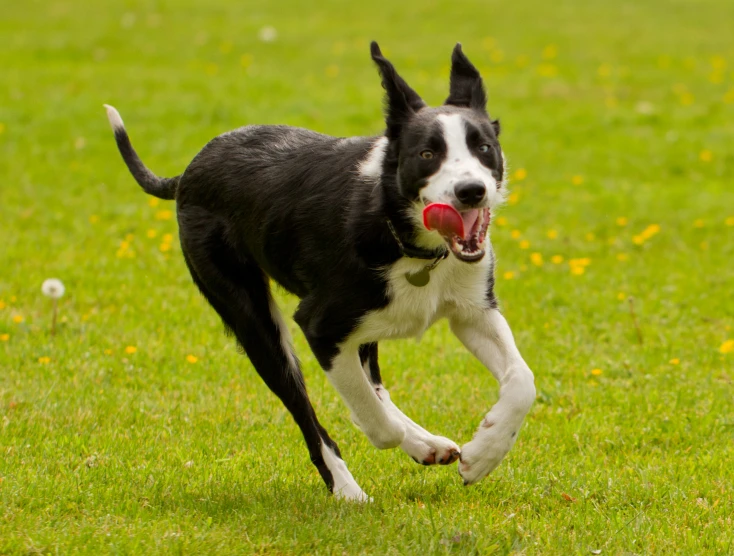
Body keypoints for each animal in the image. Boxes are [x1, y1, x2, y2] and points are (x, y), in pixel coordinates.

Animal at [103, 42, 536, 504]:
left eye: (484, 148)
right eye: (427, 154)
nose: (471, 191)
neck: (404, 236)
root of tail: (188, 172)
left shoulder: (473, 311)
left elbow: (522, 381)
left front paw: (485, 452)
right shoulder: (320, 326)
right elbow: (376, 423)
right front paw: (406, 439)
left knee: (371, 380)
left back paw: (425, 443)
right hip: (254, 321)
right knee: (309, 412)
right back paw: (350, 487)